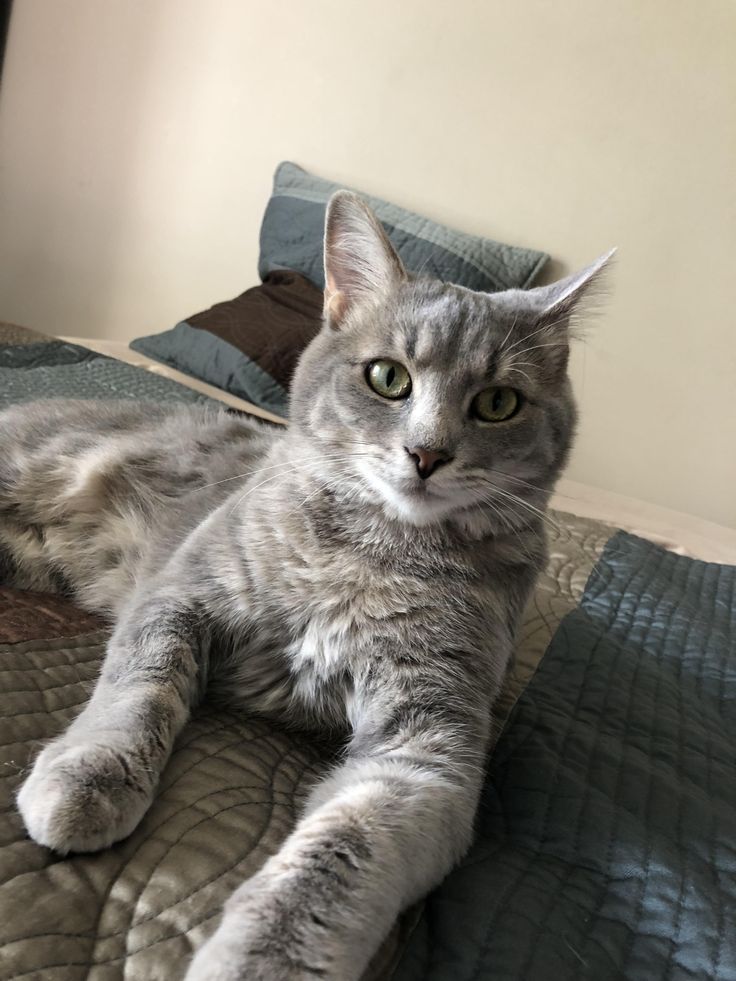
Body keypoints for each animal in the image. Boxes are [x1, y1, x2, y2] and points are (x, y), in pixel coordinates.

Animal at [1, 193, 608, 980]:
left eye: (499, 403)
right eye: (388, 377)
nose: (427, 453)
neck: (375, 550)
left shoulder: (431, 746)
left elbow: (349, 841)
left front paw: (263, 957)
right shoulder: (178, 592)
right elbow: (141, 686)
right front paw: (91, 775)